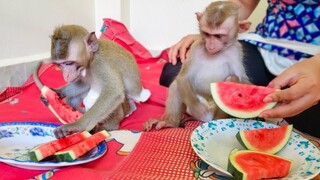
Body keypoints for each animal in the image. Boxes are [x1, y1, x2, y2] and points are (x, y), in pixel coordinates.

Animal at [144, 1, 251, 131]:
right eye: (207, 34)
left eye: (219, 36)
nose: (210, 46)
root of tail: (206, 119)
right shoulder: (196, 47)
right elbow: (183, 77)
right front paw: (197, 108)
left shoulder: (236, 51)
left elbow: (242, 79)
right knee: (177, 85)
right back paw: (170, 122)